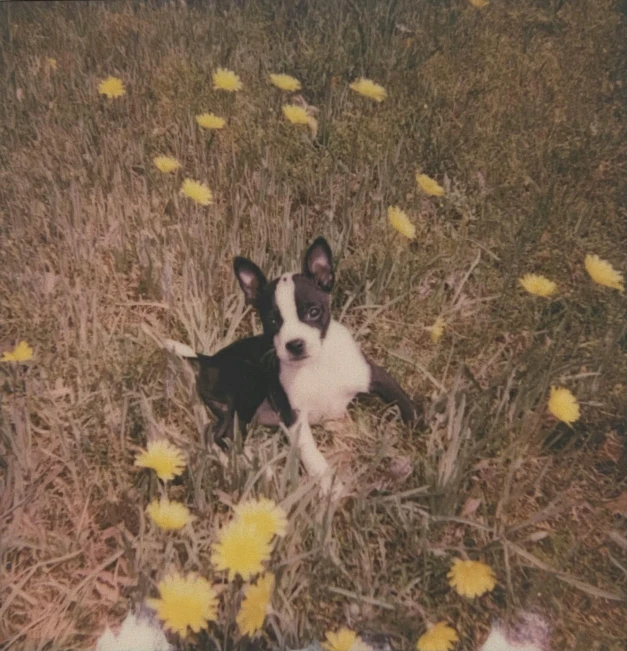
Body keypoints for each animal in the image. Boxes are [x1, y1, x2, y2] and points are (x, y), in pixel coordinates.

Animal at [169, 237, 420, 496]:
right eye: (272, 321)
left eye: (313, 312)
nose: (295, 344)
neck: (316, 365)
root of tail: (209, 359)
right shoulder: (295, 417)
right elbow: (312, 454)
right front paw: (331, 487)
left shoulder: (376, 376)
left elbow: (406, 405)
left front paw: (421, 432)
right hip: (250, 385)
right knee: (222, 436)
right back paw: (260, 471)